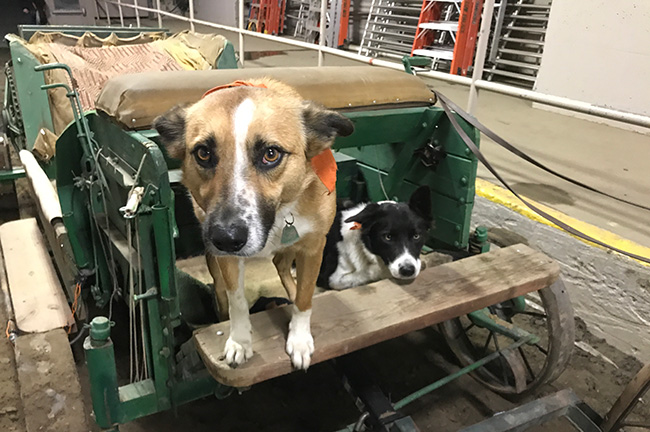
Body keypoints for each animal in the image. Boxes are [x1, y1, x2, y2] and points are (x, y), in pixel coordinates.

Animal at [154, 79, 352, 370]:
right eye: (203, 153)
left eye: (271, 154)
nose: (226, 238)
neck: (278, 216)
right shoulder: (226, 260)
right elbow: (236, 300)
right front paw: (240, 341)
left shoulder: (313, 246)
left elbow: (304, 298)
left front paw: (299, 338)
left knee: (283, 266)